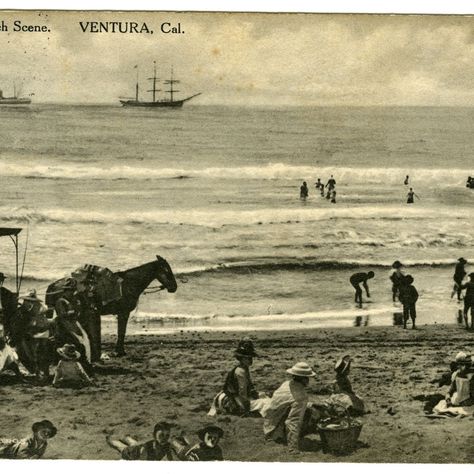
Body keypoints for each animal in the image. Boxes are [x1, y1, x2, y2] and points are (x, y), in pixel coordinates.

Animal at [45, 258, 178, 358]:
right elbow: (121, 331)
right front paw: (119, 351)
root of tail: (54, 285)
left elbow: (121, 331)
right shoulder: (123, 312)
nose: (174, 287)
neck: (127, 284)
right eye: (167, 270)